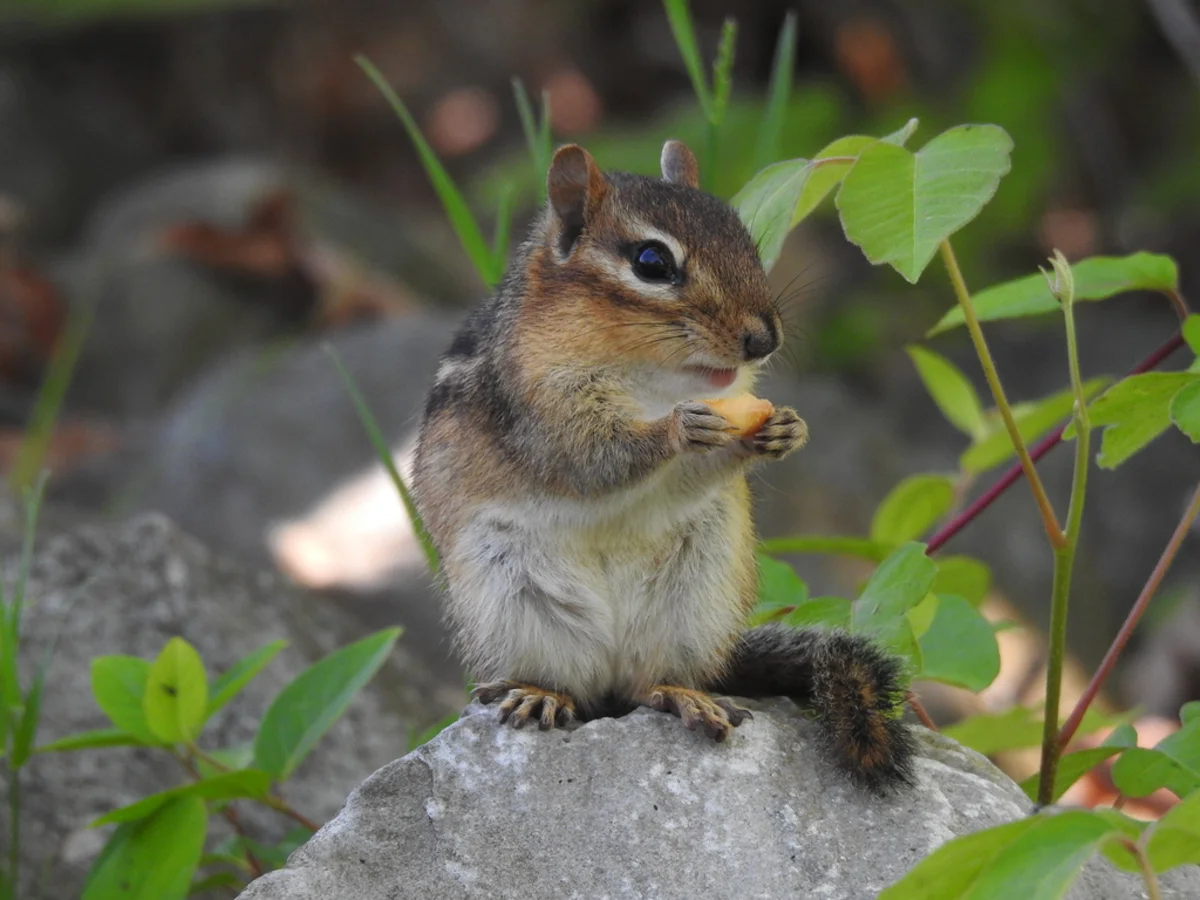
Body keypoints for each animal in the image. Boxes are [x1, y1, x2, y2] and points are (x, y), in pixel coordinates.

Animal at [410, 139, 915, 794]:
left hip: (695, 600)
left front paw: (784, 430)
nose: (764, 340)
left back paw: (682, 695)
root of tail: (608, 671)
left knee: (645, 684)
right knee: (572, 683)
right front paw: (678, 430)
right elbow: (590, 456)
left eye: (747, 242)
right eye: (652, 263)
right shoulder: (539, 408)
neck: (653, 380)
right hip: (514, 599)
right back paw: (541, 694)